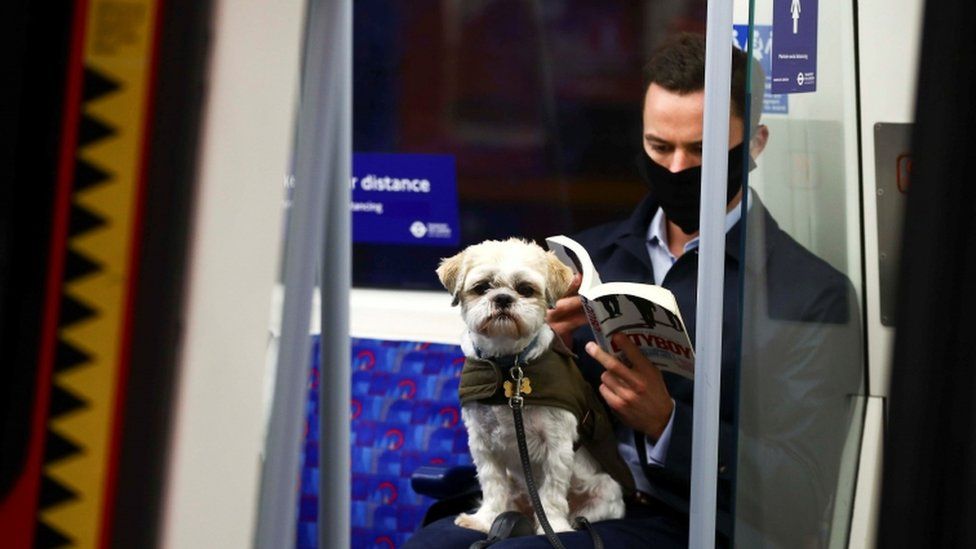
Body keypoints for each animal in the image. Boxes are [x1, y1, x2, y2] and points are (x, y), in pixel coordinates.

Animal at [436, 238, 632, 532]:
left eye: (525, 289)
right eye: (482, 287)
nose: (503, 298)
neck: (508, 366)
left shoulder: (557, 443)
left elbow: (551, 492)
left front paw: (554, 526)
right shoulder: (482, 442)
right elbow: (492, 484)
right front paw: (485, 519)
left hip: (604, 493)